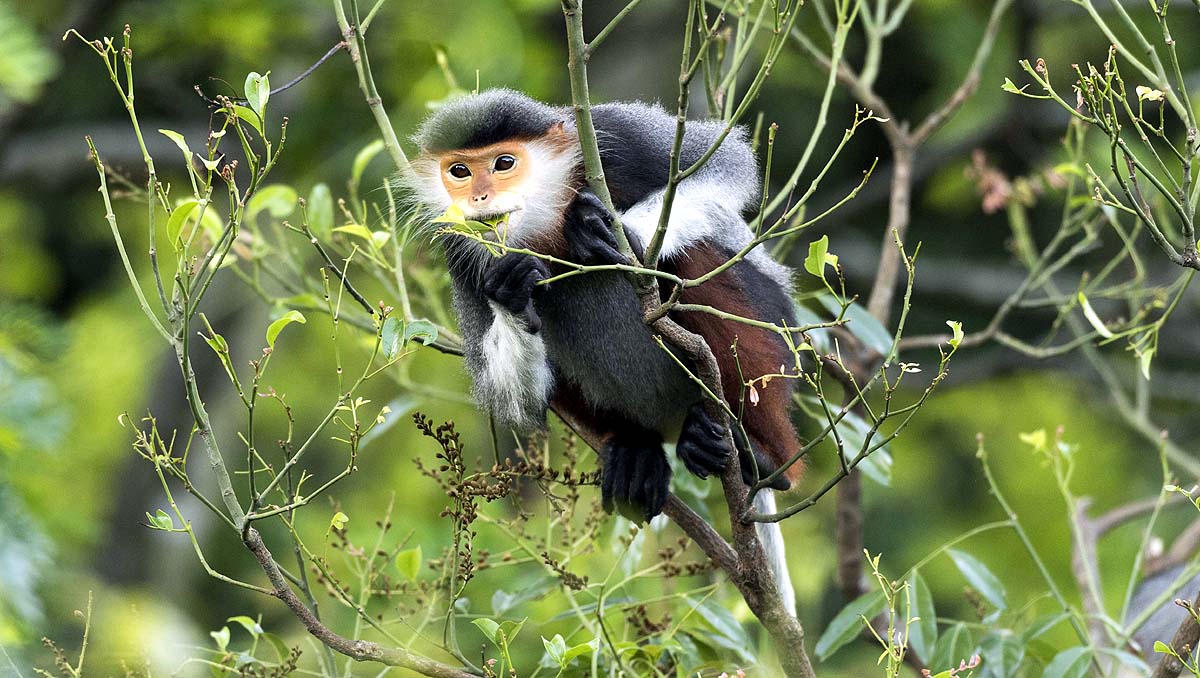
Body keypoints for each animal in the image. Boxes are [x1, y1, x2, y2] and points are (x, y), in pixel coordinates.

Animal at [404, 89, 803, 529]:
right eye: (459, 171)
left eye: (503, 163)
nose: (478, 197)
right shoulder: (458, 249)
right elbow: (511, 399)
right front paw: (509, 289)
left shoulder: (608, 132)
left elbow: (727, 163)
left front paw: (606, 230)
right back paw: (637, 448)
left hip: (775, 343)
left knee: (691, 257)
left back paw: (764, 459)